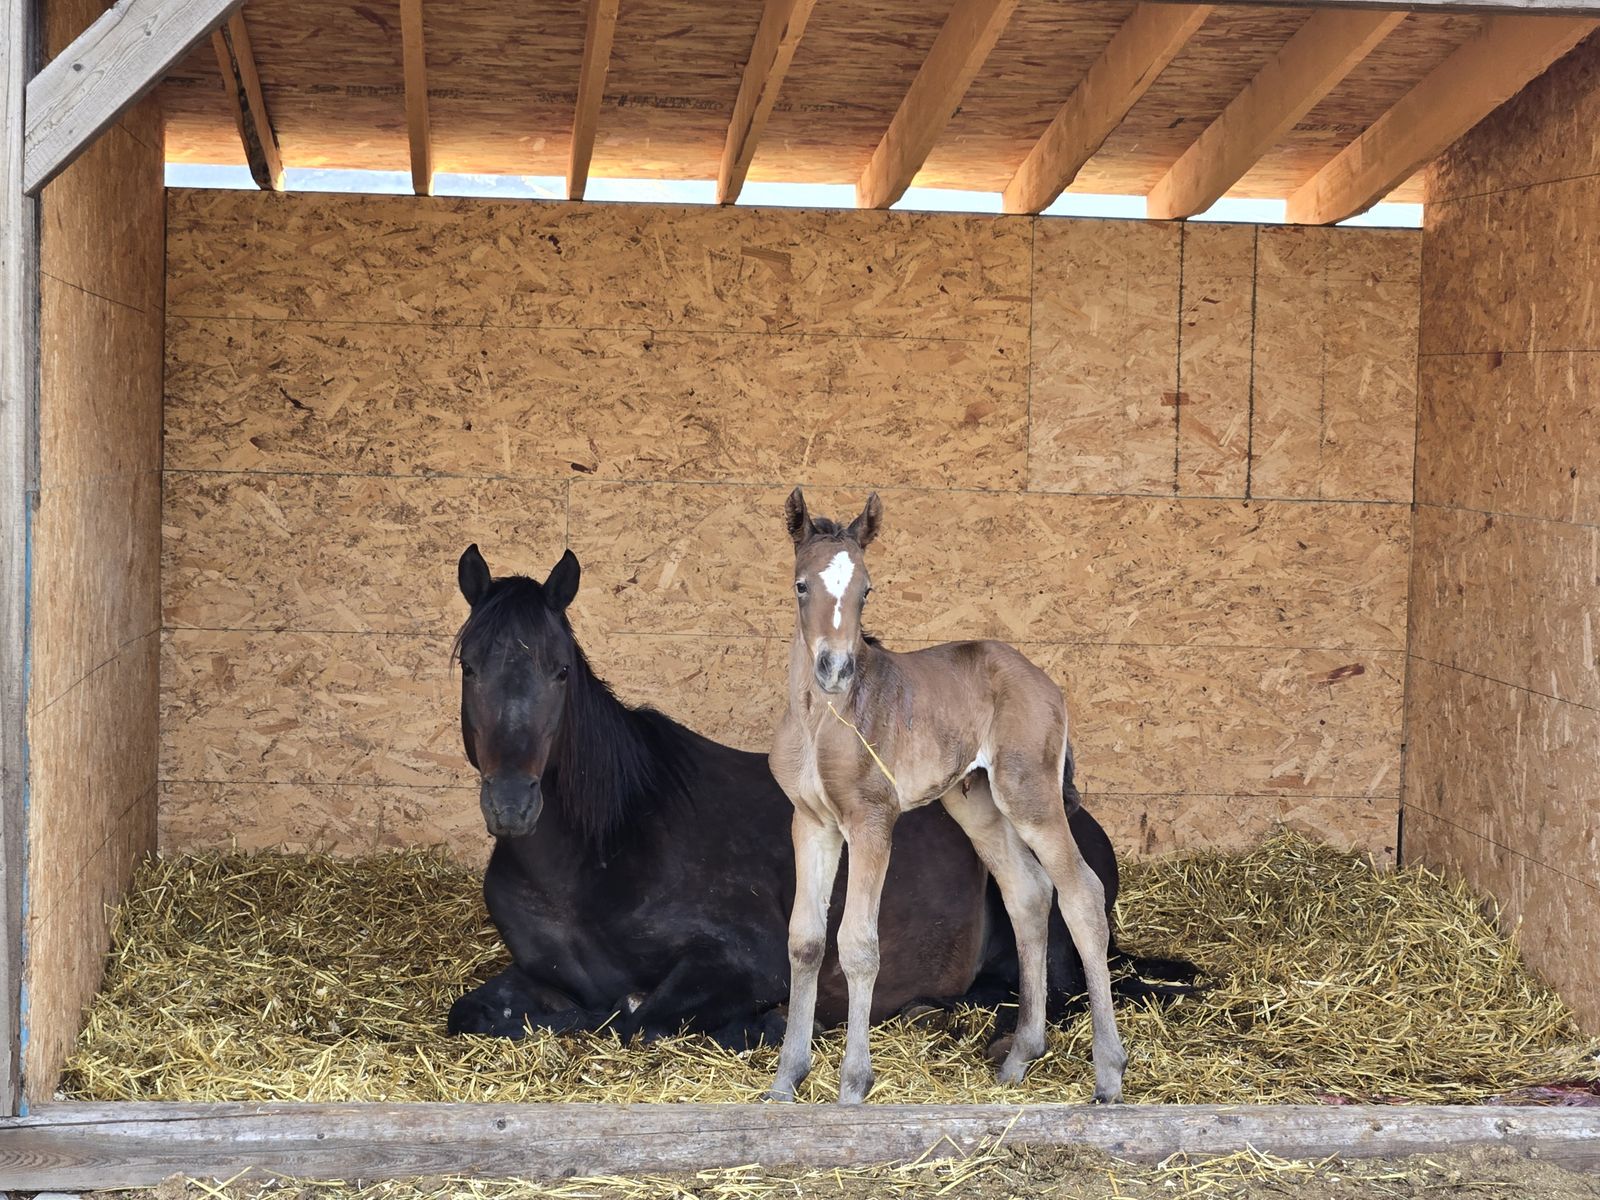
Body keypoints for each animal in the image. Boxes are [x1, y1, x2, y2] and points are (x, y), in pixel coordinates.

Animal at [446, 543, 1191, 1051]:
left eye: (560, 671)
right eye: (469, 666)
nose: (511, 803)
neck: (602, 854)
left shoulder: (739, 960)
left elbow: (638, 1022)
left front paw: (770, 1024)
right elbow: (474, 1012)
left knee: (1060, 991)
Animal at [768, 489, 1128, 1105]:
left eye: (866, 589)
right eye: (801, 585)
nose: (835, 668)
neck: (822, 717)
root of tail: (1047, 683)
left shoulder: (871, 821)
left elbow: (858, 945)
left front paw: (853, 1086)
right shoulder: (810, 822)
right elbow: (805, 941)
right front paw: (786, 1080)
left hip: (1029, 794)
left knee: (1082, 893)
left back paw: (1108, 1074)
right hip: (976, 802)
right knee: (1028, 894)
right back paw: (1020, 1058)